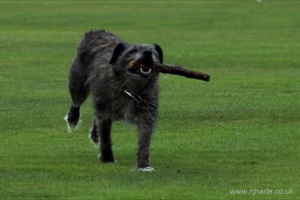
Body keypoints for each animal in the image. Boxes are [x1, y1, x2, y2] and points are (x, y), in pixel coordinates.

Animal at [64, 29, 163, 170]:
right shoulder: (105, 111)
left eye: (152, 51)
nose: (148, 53)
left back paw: (95, 135)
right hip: (78, 84)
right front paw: (107, 157)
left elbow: (144, 139)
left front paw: (143, 164)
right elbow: (105, 136)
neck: (129, 89)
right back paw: (73, 119)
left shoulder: (146, 113)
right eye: (132, 50)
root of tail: (95, 32)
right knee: (76, 102)